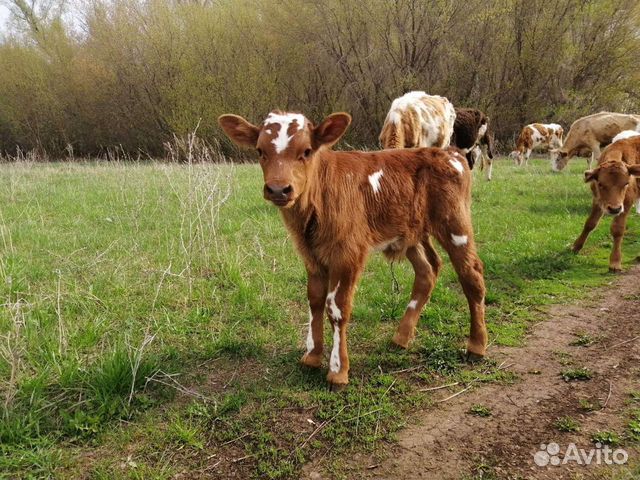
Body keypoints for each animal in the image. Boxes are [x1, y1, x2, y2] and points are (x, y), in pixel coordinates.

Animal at [218, 110, 488, 388]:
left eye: (306, 151)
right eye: (260, 151)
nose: (278, 189)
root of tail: (450, 153)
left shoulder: (348, 253)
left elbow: (336, 307)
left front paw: (338, 370)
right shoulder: (311, 255)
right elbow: (315, 299)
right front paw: (312, 355)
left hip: (455, 223)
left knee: (472, 275)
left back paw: (476, 345)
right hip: (411, 232)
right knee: (428, 270)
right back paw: (401, 338)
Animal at [572, 135, 640, 272]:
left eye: (626, 183)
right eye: (600, 184)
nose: (614, 209)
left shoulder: (626, 204)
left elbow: (618, 229)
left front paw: (615, 262)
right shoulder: (598, 201)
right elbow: (590, 223)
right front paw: (576, 246)